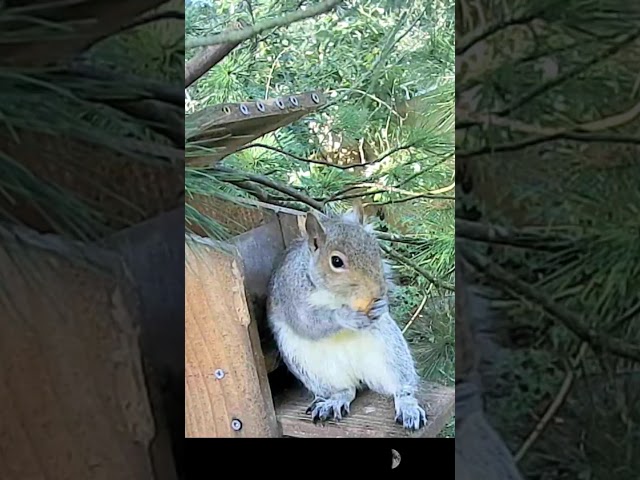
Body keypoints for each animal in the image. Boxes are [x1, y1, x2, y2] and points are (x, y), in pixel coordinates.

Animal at [264, 204, 424, 430]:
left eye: (376, 250)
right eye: (336, 261)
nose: (378, 291)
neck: (335, 295)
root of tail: (358, 375)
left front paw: (382, 305)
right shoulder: (291, 295)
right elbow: (309, 322)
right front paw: (346, 317)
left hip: (390, 351)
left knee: (400, 385)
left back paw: (407, 404)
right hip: (312, 369)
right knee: (345, 391)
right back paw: (334, 401)